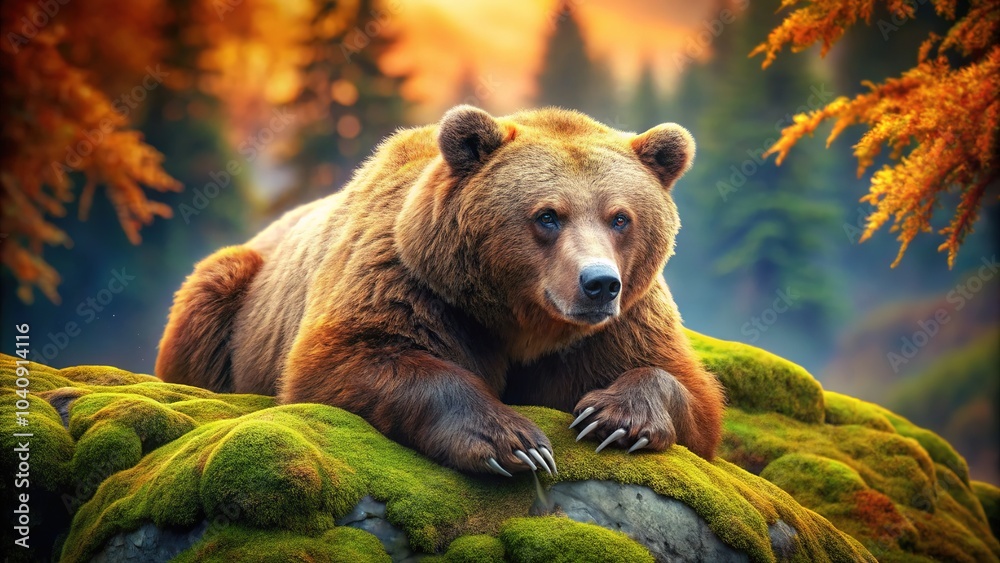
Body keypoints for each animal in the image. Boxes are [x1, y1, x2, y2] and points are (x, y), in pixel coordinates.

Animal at [156, 105, 725, 476]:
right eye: (547, 215)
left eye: (620, 218)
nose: (599, 284)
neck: (523, 322)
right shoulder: (411, 283)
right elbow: (348, 359)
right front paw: (514, 441)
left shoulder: (620, 323)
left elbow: (687, 392)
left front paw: (611, 419)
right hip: (237, 292)